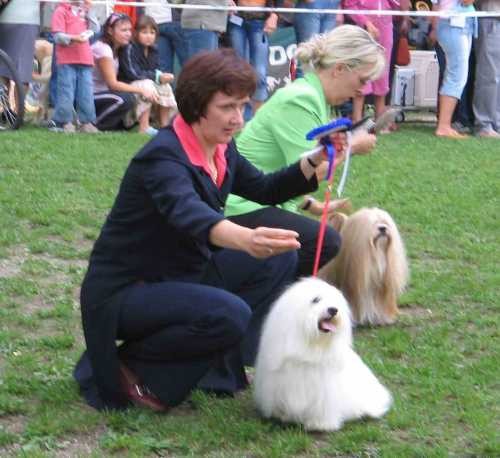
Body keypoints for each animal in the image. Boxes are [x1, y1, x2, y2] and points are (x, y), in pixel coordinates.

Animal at [256, 278, 392, 432]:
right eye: (316, 299)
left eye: (335, 301)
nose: (333, 310)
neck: (311, 344)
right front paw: (283, 416)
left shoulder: (324, 391)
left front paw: (319, 424)